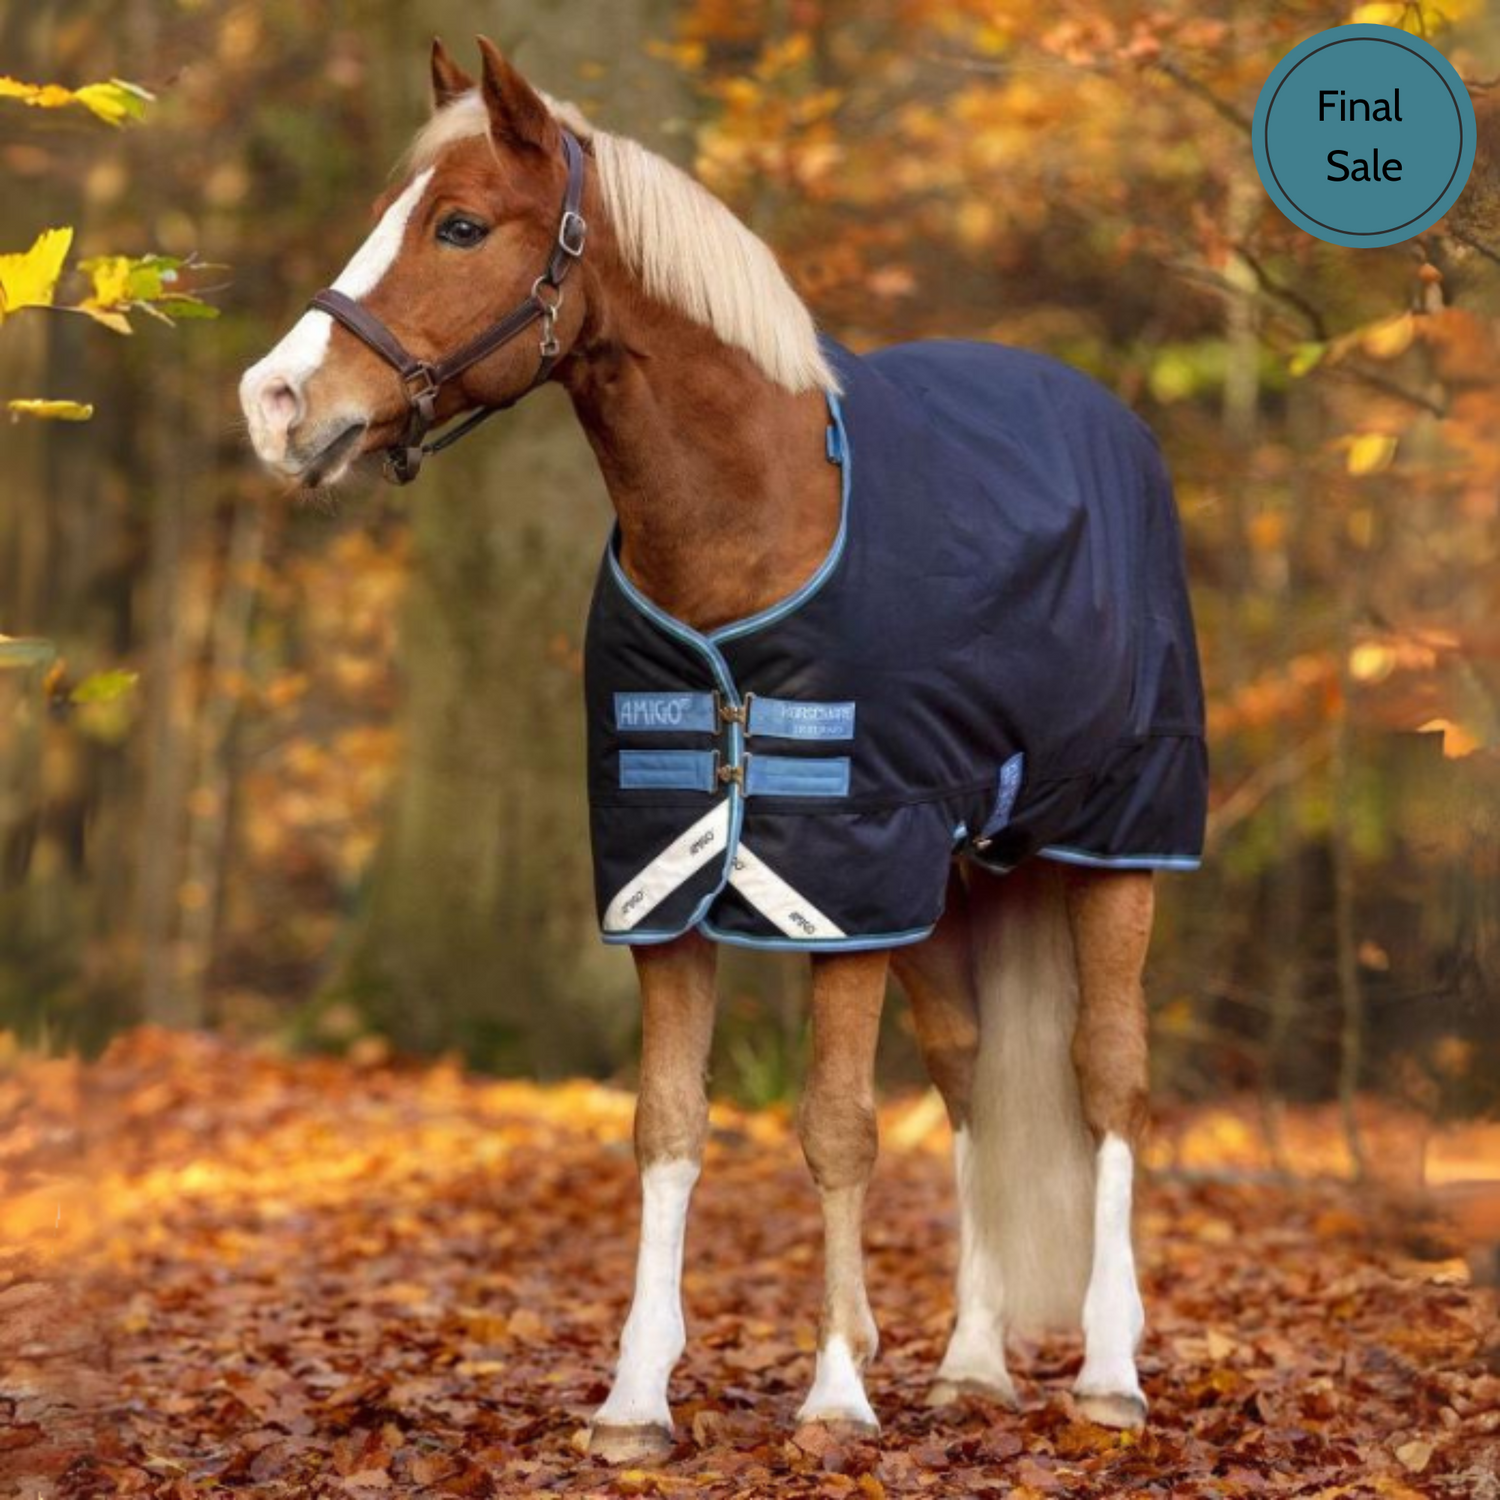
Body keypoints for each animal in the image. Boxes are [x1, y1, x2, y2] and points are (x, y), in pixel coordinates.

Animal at [239, 37, 1207, 1462]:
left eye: (459, 225)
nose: (274, 402)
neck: (753, 521)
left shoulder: (843, 889)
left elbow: (839, 1129)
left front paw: (837, 1392)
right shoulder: (668, 882)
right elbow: (669, 1127)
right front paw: (638, 1400)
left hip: (1117, 847)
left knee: (1109, 1083)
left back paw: (1108, 1374)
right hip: (951, 877)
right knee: (974, 1080)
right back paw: (973, 1363)